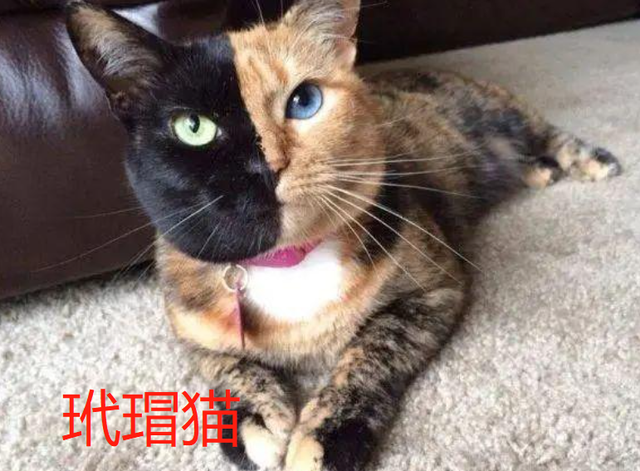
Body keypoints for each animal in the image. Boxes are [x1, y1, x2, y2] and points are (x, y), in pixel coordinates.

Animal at [66, 1, 622, 470]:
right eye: (194, 127)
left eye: (304, 101)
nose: (267, 167)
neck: (285, 264)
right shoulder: (190, 325)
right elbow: (226, 368)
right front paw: (256, 424)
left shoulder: (433, 289)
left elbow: (370, 352)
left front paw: (324, 439)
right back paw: (540, 172)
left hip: (497, 113)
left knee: (546, 132)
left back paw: (588, 161)